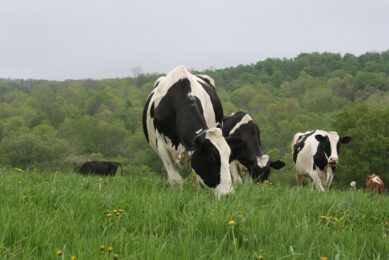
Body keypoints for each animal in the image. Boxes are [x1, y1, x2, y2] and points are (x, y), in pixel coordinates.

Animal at [140, 66, 235, 196]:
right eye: (212, 157)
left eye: (228, 156)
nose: (228, 194)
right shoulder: (161, 144)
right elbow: (175, 179)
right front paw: (177, 196)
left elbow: (196, 177)